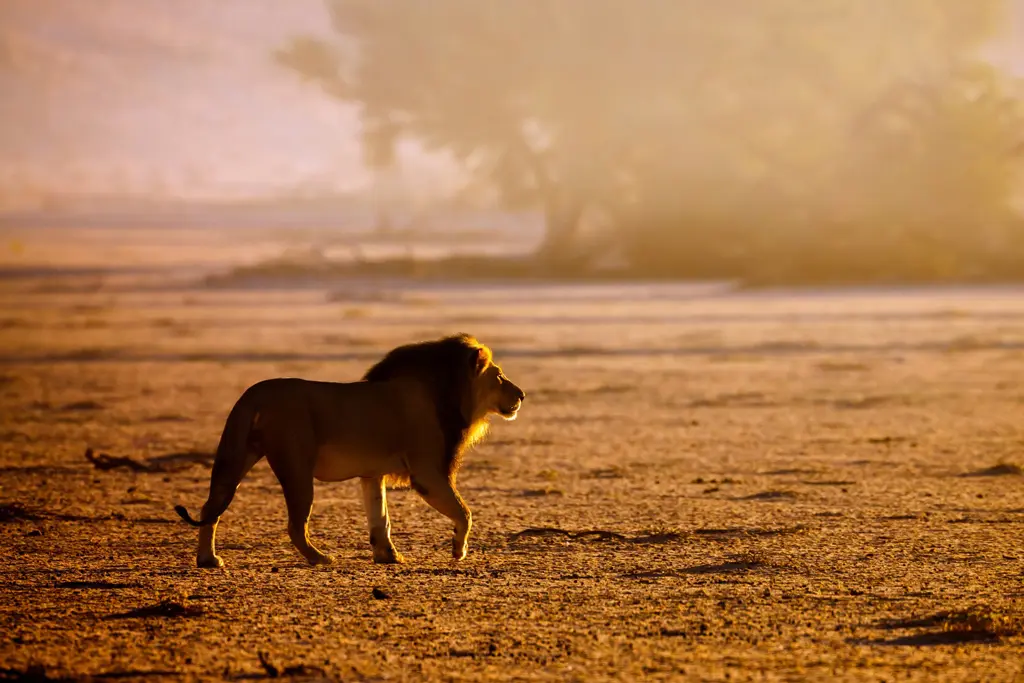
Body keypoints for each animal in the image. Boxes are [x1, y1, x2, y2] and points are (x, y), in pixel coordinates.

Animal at [173, 333, 526, 568]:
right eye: (499, 376)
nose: (522, 395)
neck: (446, 392)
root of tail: (253, 394)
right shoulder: (426, 471)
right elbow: (464, 512)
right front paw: (457, 550)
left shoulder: (372, 475)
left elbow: (380, 517)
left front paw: (388, 556)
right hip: (296, 466)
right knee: (295, 525)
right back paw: (320, 558)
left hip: (235, 458)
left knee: (210, 508)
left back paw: (208, 559)